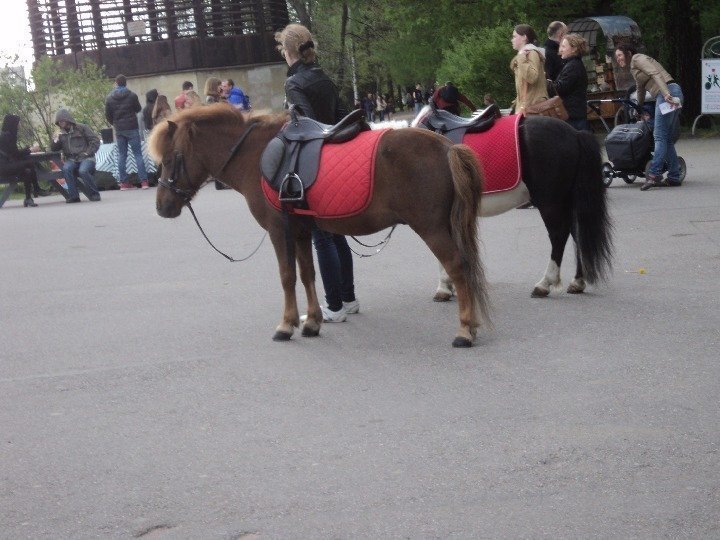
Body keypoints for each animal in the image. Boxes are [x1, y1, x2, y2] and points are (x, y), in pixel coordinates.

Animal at [149, 106, 491, 347]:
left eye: (171, 158)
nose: (162, 206)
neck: (256, 156)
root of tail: (447, 147)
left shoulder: (279, 232)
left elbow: (287, 276)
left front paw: (286, 325)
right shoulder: (300, 231)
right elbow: (307, 274)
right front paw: (311, 322)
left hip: (432, 229)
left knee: (458, 267)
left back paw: (465, 330)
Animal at [413, 106, 613, 300]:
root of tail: (575, 133)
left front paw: (444, 287)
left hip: (550, 202)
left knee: (559, 235)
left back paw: (544, 283)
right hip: (566, 199)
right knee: (576, 233)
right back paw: (577, 281)